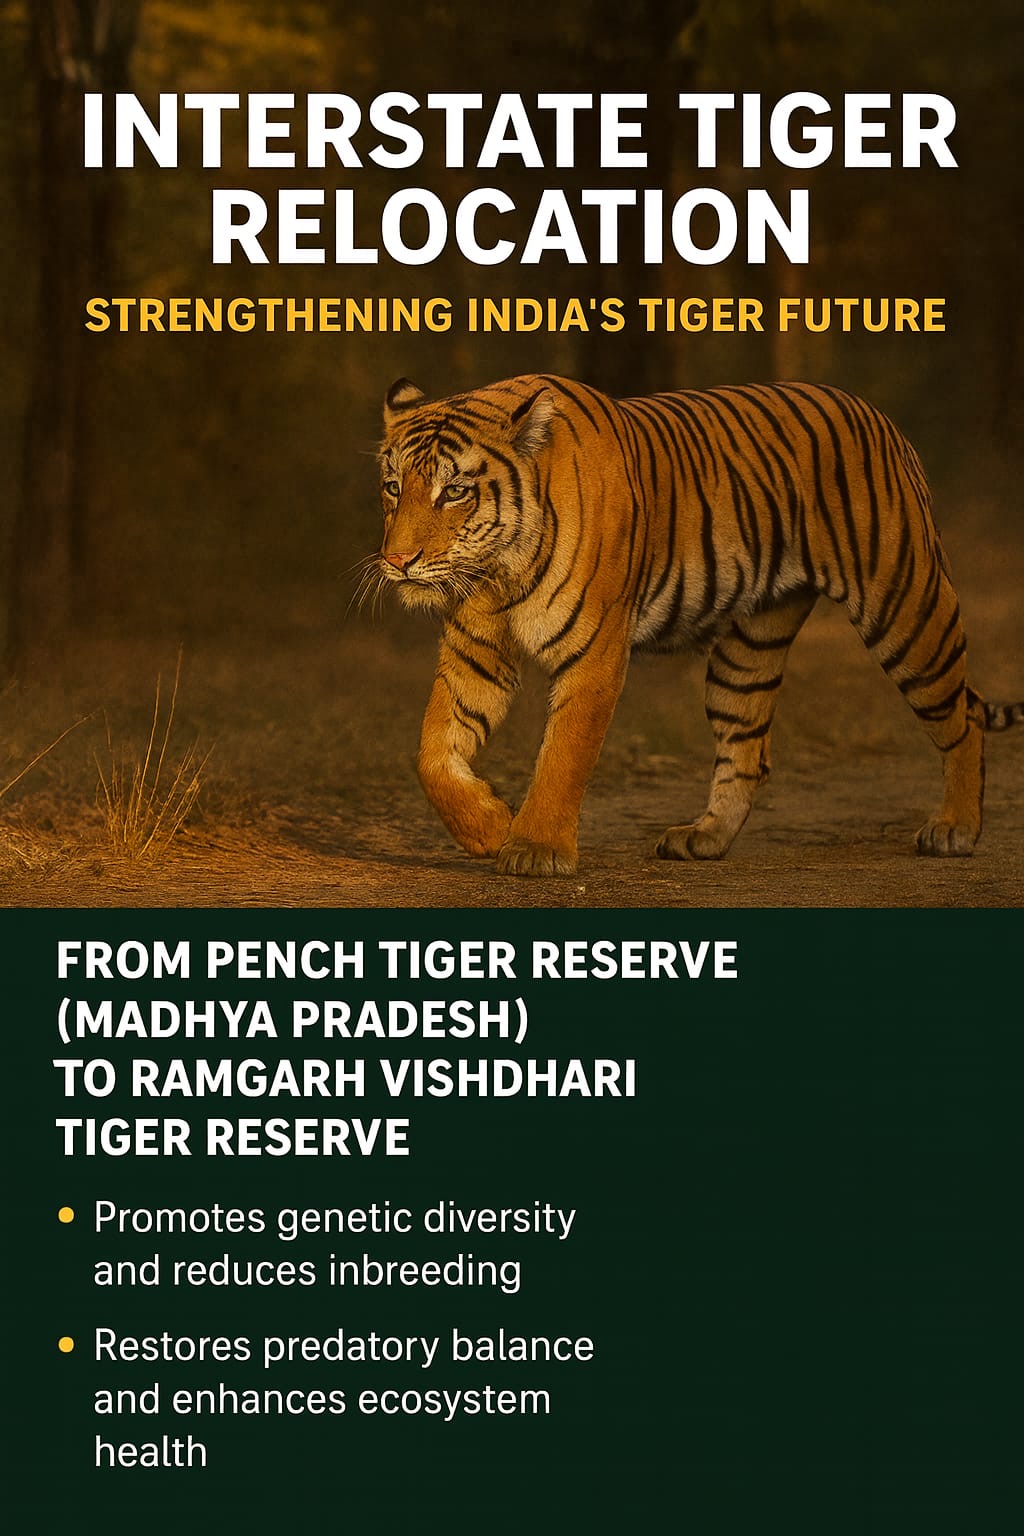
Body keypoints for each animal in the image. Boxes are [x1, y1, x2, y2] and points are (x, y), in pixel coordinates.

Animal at [372, 372, 1023, 877]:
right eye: (393, 487)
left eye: (455, 490)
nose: (398, 561)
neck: (499, 568)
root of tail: (876, 413)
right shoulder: (475, 650)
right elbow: (432, 753)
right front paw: (488, 828)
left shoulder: (594, 654)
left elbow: (563, 755)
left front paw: (534, 848)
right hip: (747, 652)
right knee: (748, 750)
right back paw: (703, 838)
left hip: (904, 607)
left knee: (962, 715)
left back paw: (955, 829)